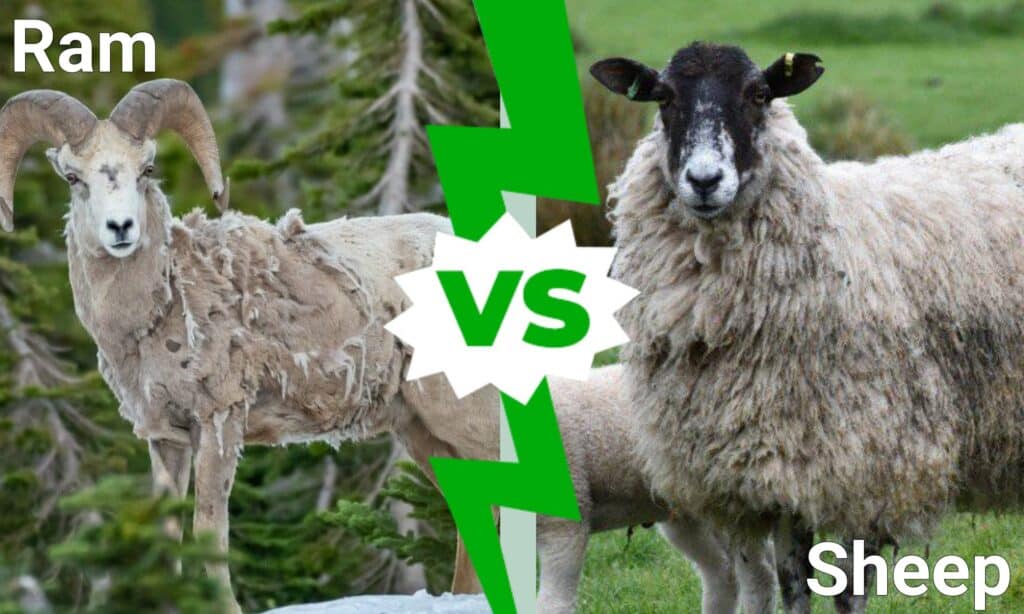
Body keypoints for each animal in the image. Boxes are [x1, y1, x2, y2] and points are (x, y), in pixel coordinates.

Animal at [0, 80, 499, 613]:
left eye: (147, 168)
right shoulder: (166, 438)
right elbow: (169, 534)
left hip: (468, 415)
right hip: (423, 432)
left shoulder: (220, 421)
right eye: (74, 177)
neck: (160, 308)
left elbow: (208, 529)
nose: (120, 229)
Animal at [592, 41, 1024, 613]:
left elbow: (848, 590)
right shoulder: (764, 476)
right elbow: (792, 581)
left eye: (758, 94)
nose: (704, 181)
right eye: (663, 97)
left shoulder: (868, 462)